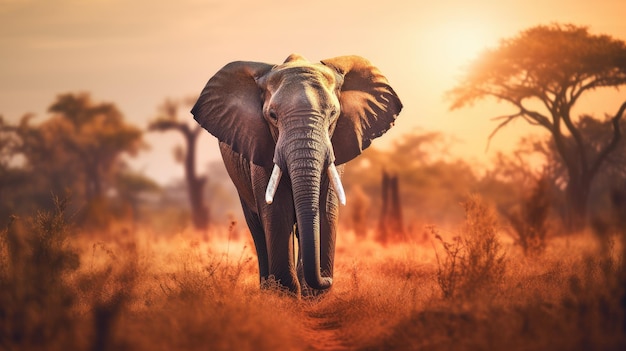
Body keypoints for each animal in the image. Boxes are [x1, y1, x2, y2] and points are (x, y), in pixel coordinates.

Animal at [190, 54, 402, 296]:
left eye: (333, 114)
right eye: (272, 116)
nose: (328, 279)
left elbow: (325, 210)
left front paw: (313, 295)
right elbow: (276, 212)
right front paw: (286, 296)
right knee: (258, 228)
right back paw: (268, 289)